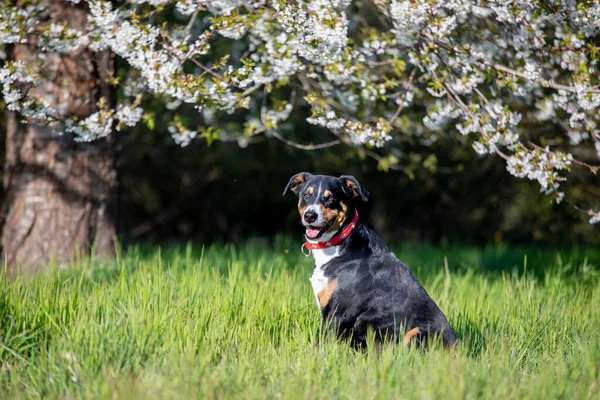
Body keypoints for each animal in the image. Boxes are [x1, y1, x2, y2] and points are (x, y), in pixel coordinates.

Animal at [284, 173, 458, 348]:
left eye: (331, 197)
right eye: (306, 195)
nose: (310, 216)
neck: (339, 245)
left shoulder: (338, 312)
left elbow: (320, 344)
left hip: (416, 332)